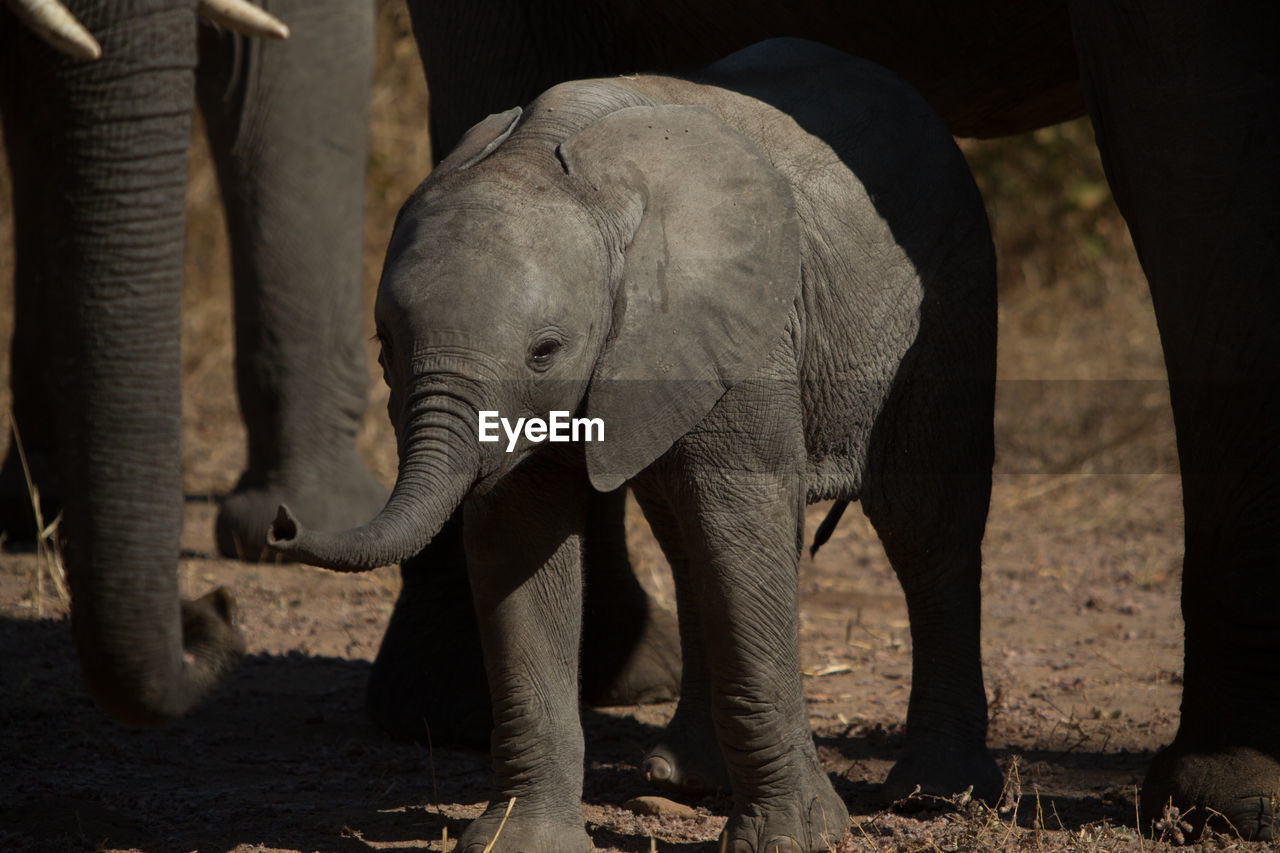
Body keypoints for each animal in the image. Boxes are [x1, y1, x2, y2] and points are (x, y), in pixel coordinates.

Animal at [272, 38, 998, 850]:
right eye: (385, 348)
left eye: (545, 351)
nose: (283, 522)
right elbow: (521, 538)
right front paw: (519, 843)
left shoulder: (735, 326)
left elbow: (741, 513)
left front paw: (794, 839)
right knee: (686, 542)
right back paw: (684, 780)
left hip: (952, 295)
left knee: (924, 525)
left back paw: (936, 794)